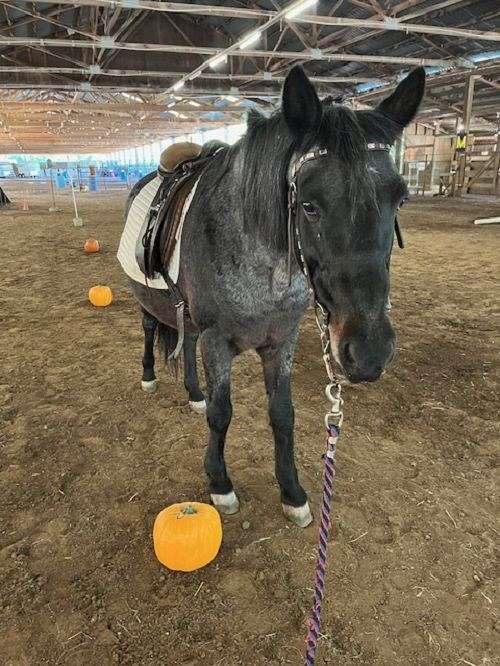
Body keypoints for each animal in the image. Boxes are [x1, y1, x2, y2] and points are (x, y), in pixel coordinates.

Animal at [121, 65, 426, 528]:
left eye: (401, 198)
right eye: (309, 205)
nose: (370, 352)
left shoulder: (281, 339)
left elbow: (283, 415)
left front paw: (292, 492)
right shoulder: (217, 340)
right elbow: (222, 413)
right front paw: (220, 484)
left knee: (185, 343)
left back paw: (193, 393)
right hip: (147, 300)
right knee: (149, 329)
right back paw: (150, 376)